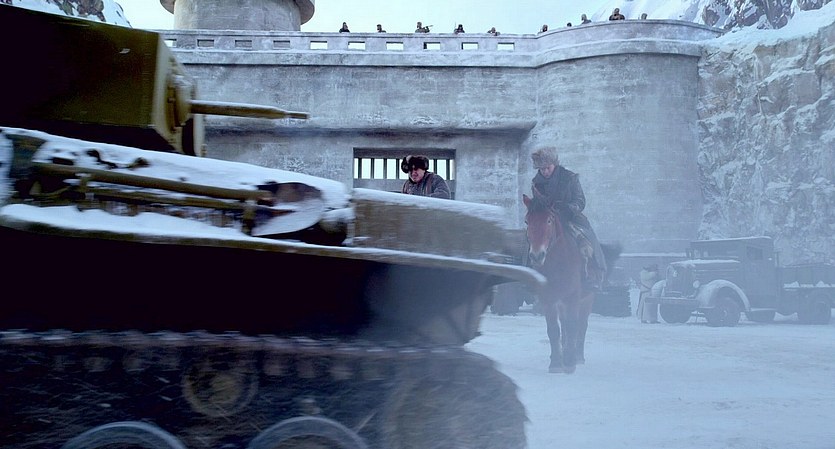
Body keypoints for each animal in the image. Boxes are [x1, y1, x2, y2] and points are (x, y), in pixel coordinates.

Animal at [522, 193, 620, 374]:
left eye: (549, 220)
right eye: (527, 221)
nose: (537, 255)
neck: (558, 262)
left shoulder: (573, 297)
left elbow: (573, 326)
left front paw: (569, 362)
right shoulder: (548, 299)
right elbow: (554, 330)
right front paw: (556, 363)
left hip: (587, 299)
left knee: (581, 325)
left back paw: (578, 356)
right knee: (564, 325)